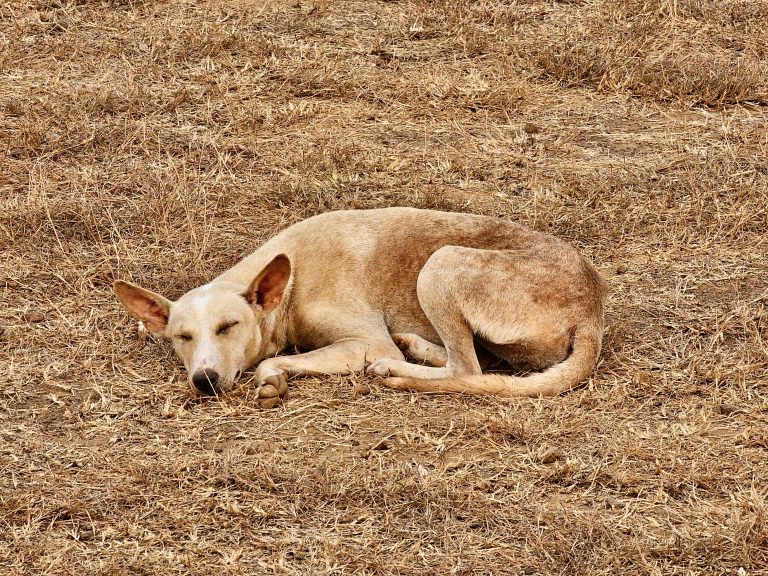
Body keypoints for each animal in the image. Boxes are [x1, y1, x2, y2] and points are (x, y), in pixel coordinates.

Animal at [112, 207, 608, 404]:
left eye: (228, 326)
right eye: (182, 337)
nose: (205, 381)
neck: (292, 280)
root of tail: (592, 311)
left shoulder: (366, 342)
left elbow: (271, 364)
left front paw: (272, 380)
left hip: (441, 263)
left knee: (467, 368)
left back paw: (397, 367)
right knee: (476, 365)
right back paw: (418, 348)